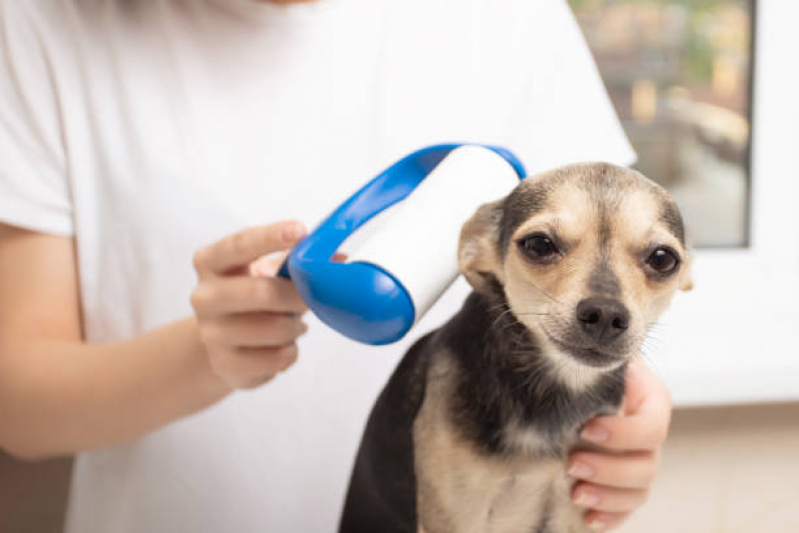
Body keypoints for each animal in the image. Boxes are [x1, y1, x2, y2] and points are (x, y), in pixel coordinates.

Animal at [338, 162, 692, 532]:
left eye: (663, 259)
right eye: (539, 244)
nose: (606, 313)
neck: (553, 393)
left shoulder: (573, 509)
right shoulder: (456, 514)